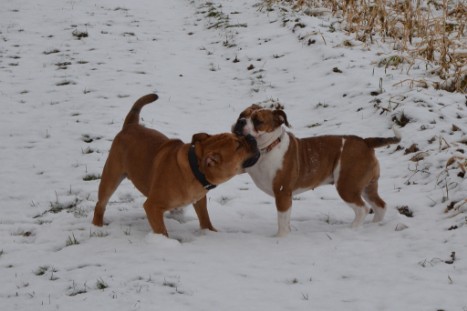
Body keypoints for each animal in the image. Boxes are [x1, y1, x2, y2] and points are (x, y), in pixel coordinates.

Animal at [92, 94, 260, 238]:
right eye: (238, 145)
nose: (251, 138)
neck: (195, 170)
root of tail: (130, 125)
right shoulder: (152, 206)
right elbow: (162, 231)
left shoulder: (200, 199)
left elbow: (205, 218)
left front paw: (210, 232)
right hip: (111, 177)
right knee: (100, 204)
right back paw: (97, 226)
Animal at [234, 105, 402, 236]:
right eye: (242, 115)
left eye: (257, 121)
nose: (240, 121)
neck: (269, 147)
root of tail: (366, 142)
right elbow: (286, 220)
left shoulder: (282, 194)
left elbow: (282, 221)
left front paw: (280, 238)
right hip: (367, 186)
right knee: (380, 206)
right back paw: (374, 225)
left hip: (347, 186)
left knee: (362, 209)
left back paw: (352, 229)